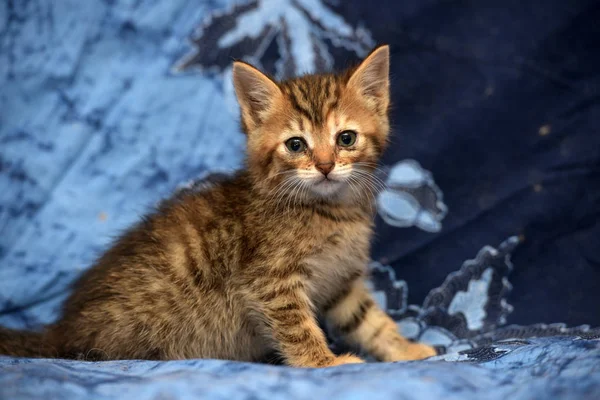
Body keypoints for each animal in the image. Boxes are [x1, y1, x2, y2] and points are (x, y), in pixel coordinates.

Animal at [0, 45, 436, 368]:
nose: (326, 166)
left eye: (346, 138)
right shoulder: (269, 280)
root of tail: (60, 330)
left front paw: (406, 349)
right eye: (296, 145)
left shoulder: (342, 282)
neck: (329, 211)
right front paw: (324, 363)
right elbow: (297, 327)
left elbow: (369, 319)